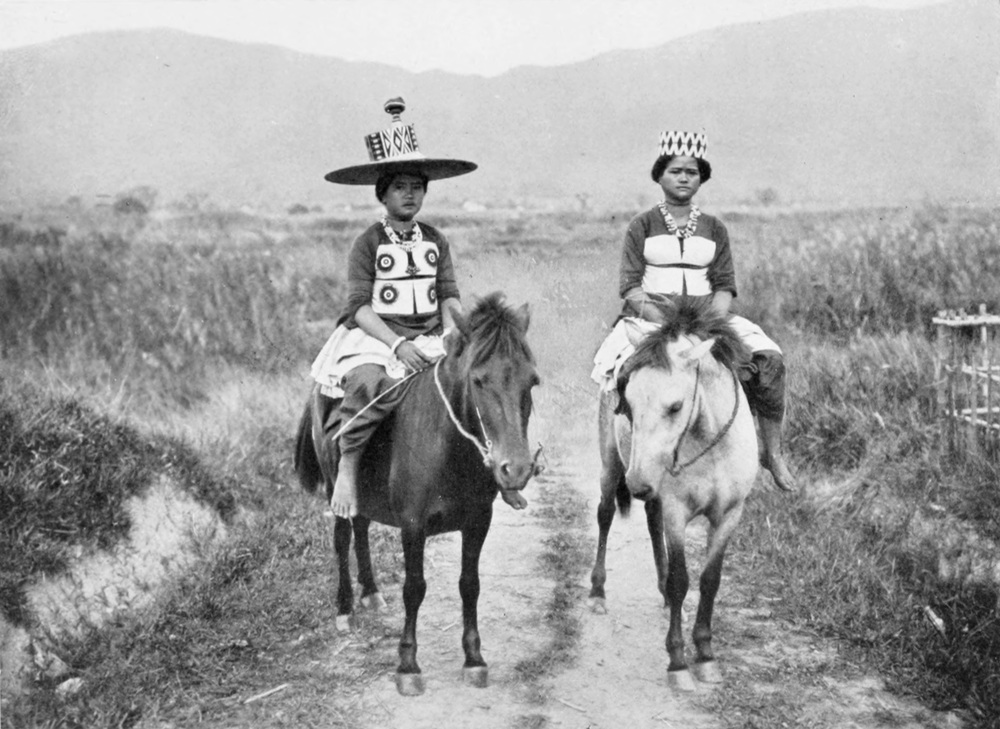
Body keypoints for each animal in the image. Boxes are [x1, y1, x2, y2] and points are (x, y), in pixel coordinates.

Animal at [294, 293, 541, 696]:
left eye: (532, 381)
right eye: (478, 380)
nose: (515, 469)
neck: (449, 446)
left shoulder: (478, 522)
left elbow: (470, 585)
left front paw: (474, 658)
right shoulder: (413, 525)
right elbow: (414, 588)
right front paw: (407, 664)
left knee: (361, 528)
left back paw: (371, 591)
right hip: (334, 486)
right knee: (343, 537)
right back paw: (345, 608)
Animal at [588, 300, 758, 691]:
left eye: (676, 407)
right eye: (629, 401)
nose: (636, 482)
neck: (711, 445)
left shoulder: (730, 513)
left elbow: (710, 580)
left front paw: (706, 655)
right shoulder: (678, 511)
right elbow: (683, 580)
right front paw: (678, 662)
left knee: (652, 522)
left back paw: (662, 593)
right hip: (611, 464)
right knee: (605, 515)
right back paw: (598, 593)